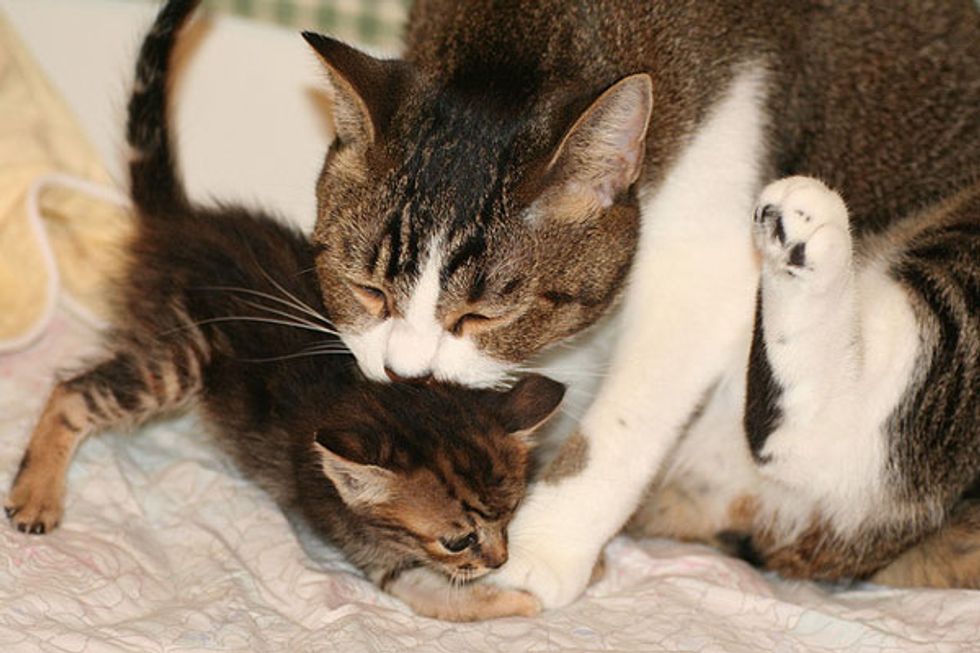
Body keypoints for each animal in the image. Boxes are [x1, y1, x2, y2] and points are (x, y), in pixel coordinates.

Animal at [5, 0, 568, 620]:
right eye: (458, 540)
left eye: (510, 513)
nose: (497, 557)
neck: (390, 404)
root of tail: (177, 222)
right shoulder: (370, 548)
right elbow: (448, 599)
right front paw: (521, 598)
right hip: (183, 354)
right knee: (72, 390)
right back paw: (36, 494)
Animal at [300, 0, 980, 608]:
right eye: (366, 290)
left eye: (482, 316)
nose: (402, 373)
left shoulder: (706, 246)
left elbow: (624, 420)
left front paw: (541, 547)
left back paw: (808, 225)